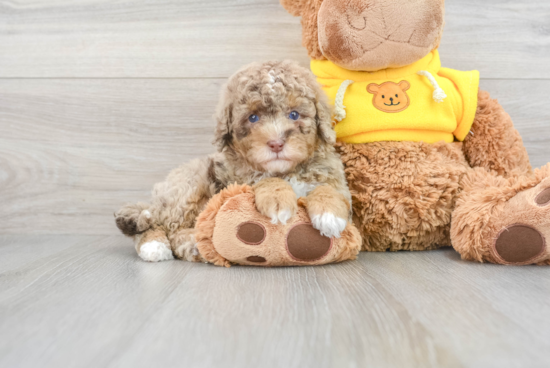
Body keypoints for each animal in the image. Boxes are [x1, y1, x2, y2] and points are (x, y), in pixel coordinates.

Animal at [115, 60, 354, 262]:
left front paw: (329, 215)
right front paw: (278, 200)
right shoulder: (239, 181)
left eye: (294, 114)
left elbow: (329, 189)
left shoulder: (333, 176)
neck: (286, 171)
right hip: (188, 186)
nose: (276, 144)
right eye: (253, 118)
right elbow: (266, 182)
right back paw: (156, 245)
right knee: (161, 224)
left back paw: (196, 243)